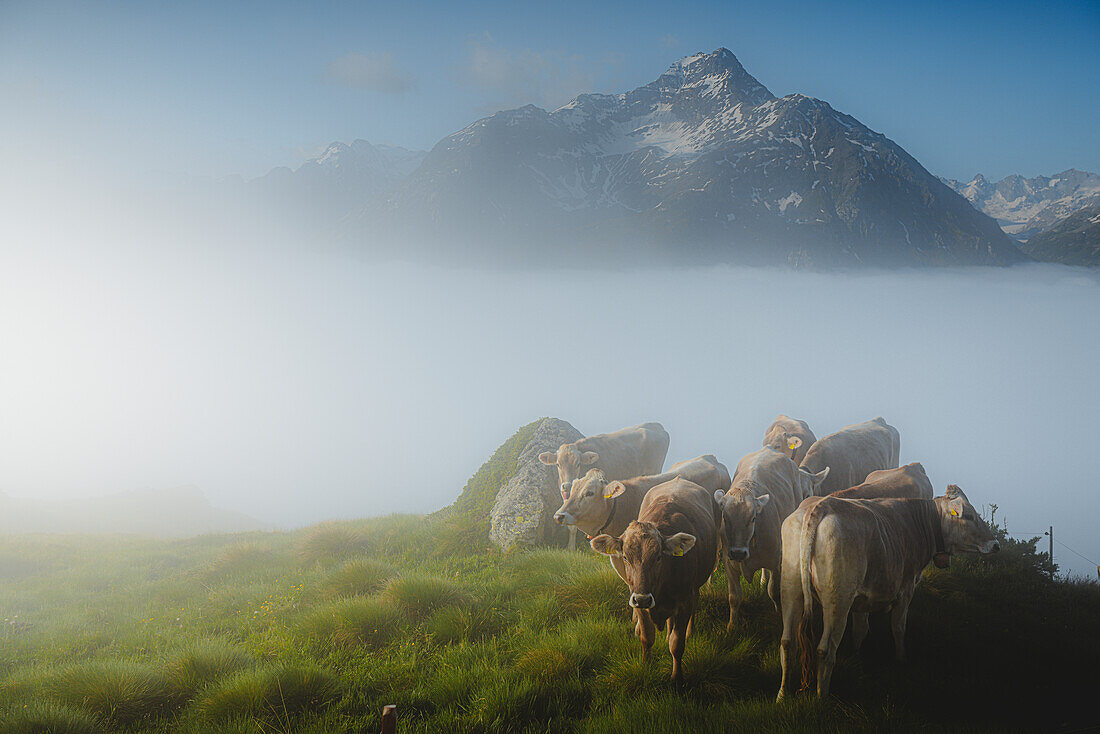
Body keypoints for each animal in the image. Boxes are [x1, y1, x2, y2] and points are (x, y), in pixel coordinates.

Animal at [594, 477, 721, 682]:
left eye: (659, 557)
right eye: (626, 557)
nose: (643, 598)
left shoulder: (684, 601)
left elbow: (677, 644)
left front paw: (677, 677)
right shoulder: (638, 601)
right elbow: (647, 638)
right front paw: (646, 667)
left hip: (694, 589)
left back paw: (690, 632)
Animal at [712, 448, 827, 633]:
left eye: (752, 518)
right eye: (725, 517)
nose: (738, 553)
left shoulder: (777, 560)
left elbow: (774, 591)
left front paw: (779, 615)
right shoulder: (729, 563)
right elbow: (734, 597)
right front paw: (732, 625)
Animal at [778, 484, 1003, 704]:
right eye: (969, 516)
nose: (996, 544)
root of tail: (822, 504)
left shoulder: (862, 599)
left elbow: (860, 630)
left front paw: (856, 656)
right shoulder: (905, 590)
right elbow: (899, 628)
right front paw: (901, 660)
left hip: (791, 590)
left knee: (788, 642)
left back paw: (783, 694)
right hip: (837, 600)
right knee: (824, 649)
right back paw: (821, 698)